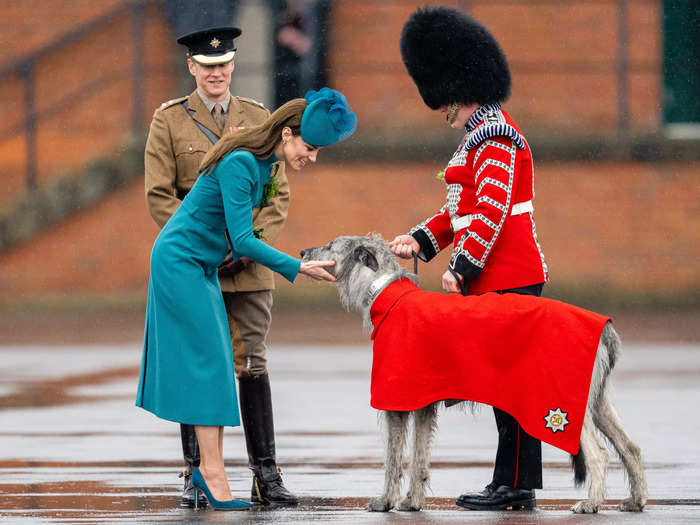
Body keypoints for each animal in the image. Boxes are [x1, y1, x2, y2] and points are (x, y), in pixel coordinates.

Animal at [298, 234, 648, 512]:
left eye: (330, 244)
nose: (301, 251)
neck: (386, 293)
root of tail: (604, 327)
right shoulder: (423, 403)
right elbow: (420, 457)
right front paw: (412, 502)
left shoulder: (395, 400)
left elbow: (393, 460)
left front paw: (385, 502)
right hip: (596, 401)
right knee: (630, 447)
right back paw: (636, 500)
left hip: (565, 403)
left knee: (599, 454)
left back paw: (590, 503)